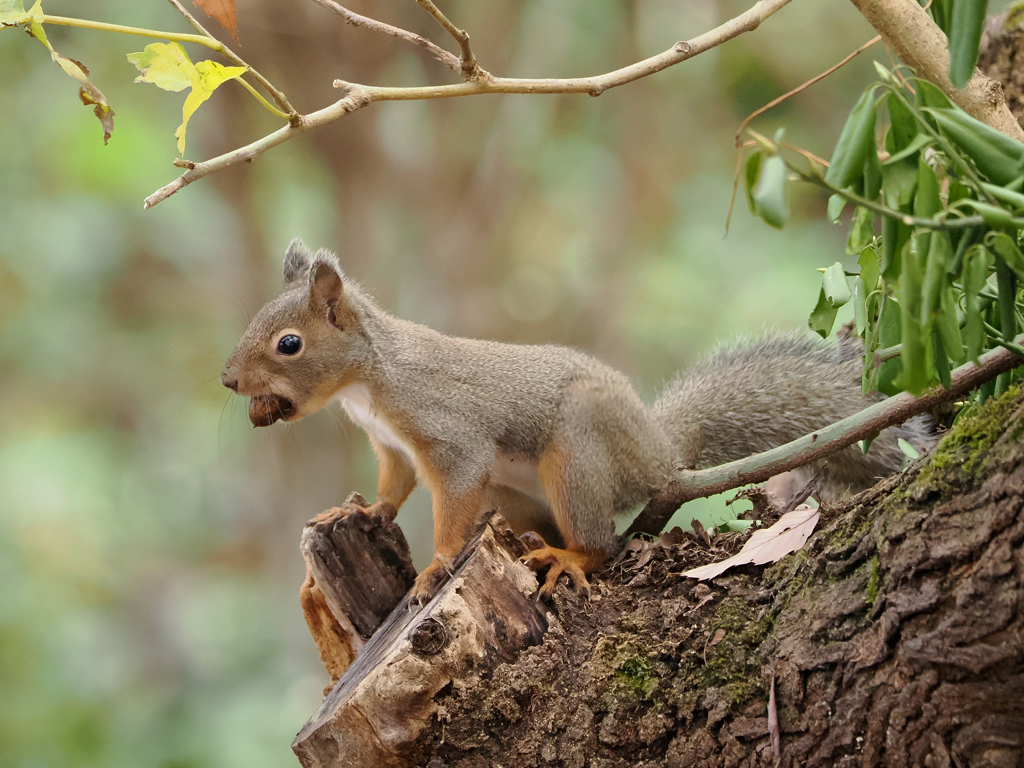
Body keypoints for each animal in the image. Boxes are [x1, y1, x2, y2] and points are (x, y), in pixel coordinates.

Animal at [220, 240, 933, 602]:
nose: (228, 380)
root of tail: (661, 453)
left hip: (580, 451)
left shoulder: (447, 435)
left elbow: (451, 495)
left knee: (603, 544)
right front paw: (363, 513)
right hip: (516, 493)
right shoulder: (392, 447)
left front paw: (437, 565)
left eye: (289, 344)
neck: (369, 378)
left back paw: (569, 559)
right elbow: (395, 487)